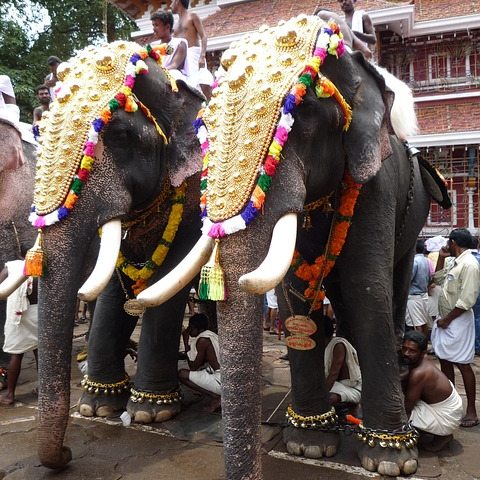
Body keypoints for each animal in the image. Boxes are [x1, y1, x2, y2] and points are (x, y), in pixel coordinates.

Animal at [0, 41, 204, 468]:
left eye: (121, 135)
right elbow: (110, 283)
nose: (65, 454)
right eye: (42, 134)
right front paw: (98, 406)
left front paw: (151, 413)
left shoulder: (195, 196)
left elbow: (167, 283)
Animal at [138, 13, 450, 478]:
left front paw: (390, 459)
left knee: (391, 280)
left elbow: (366, 285)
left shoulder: (375, 181)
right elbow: (293, 292)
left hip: (416, 213)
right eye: (205, 126)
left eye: (300, 116)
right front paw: (310, 443)